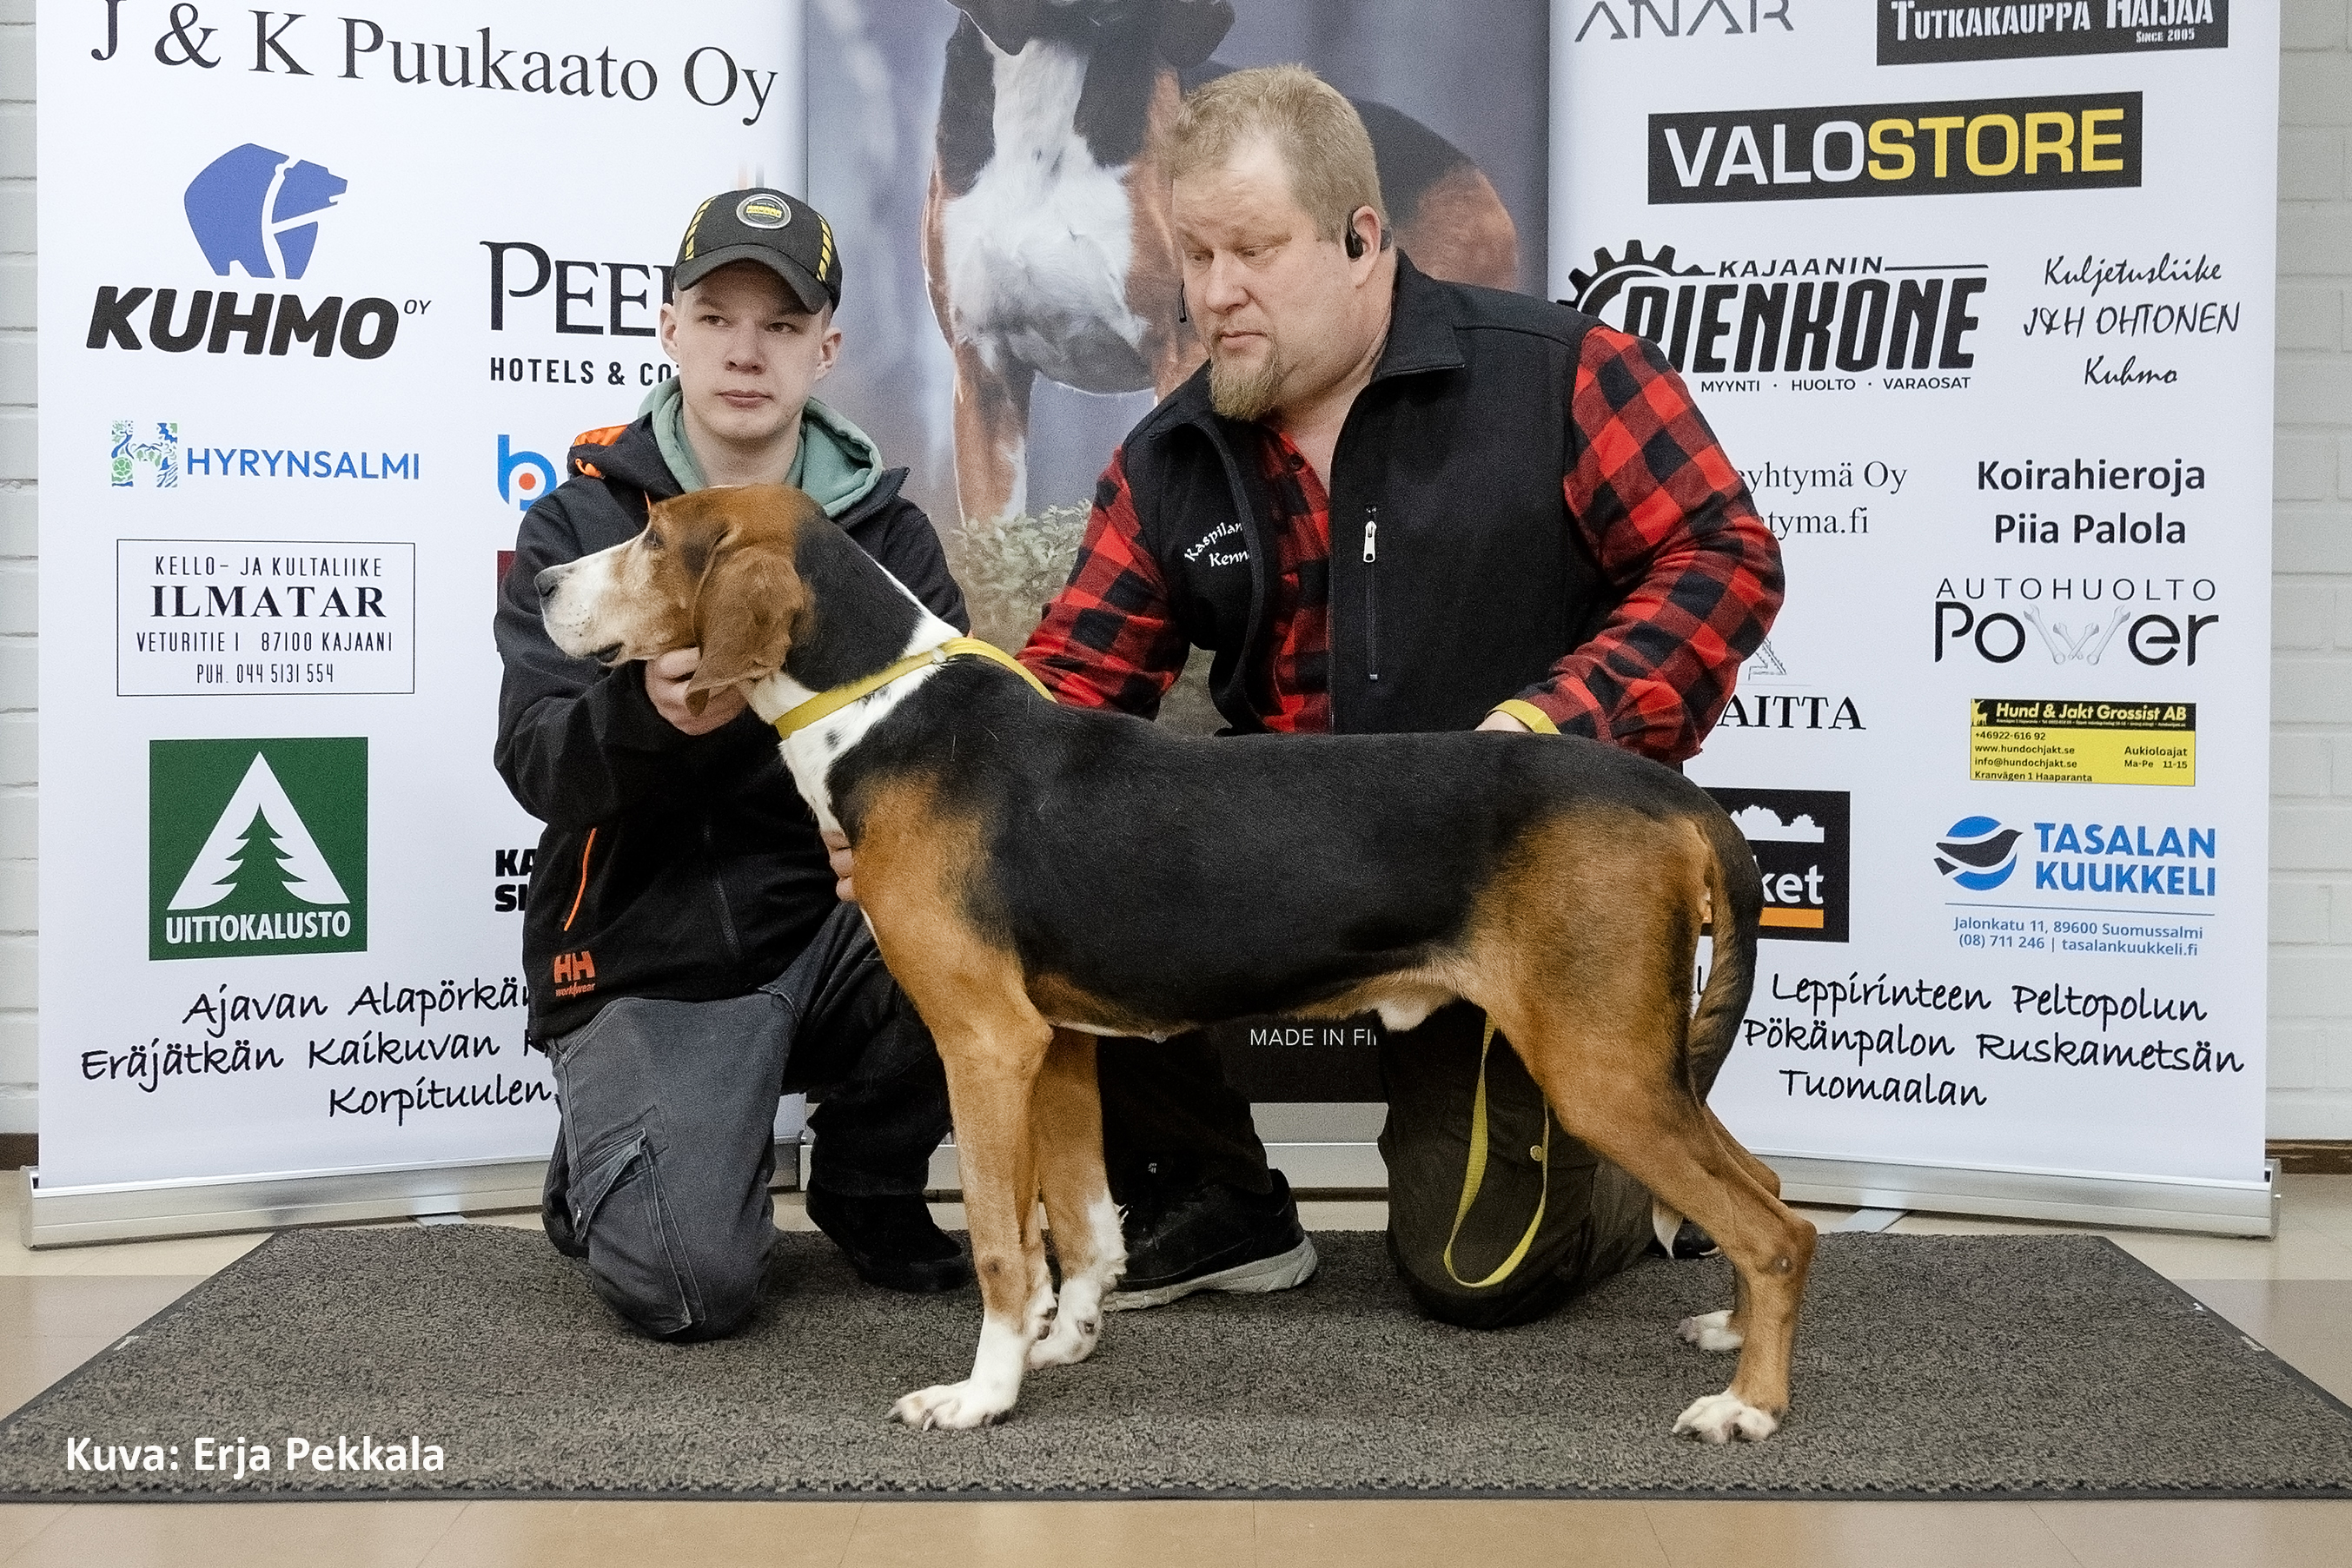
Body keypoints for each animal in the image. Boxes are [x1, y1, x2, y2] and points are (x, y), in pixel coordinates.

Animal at [535, 483, 1817, 1442]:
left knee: (1775, 1230)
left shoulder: (983, 1043)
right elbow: (1078, 1223)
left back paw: (1747, 1406)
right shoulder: (1054, 1045)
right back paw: (1727, 1333)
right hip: (1636, 1059)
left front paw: (982, 1393)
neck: (883, 707)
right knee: (1763, 1190)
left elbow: (1001, 1240)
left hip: (1598, 1067)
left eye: (654, 538)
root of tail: (1660, 790)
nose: (538, 583)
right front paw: (1063, 1340)